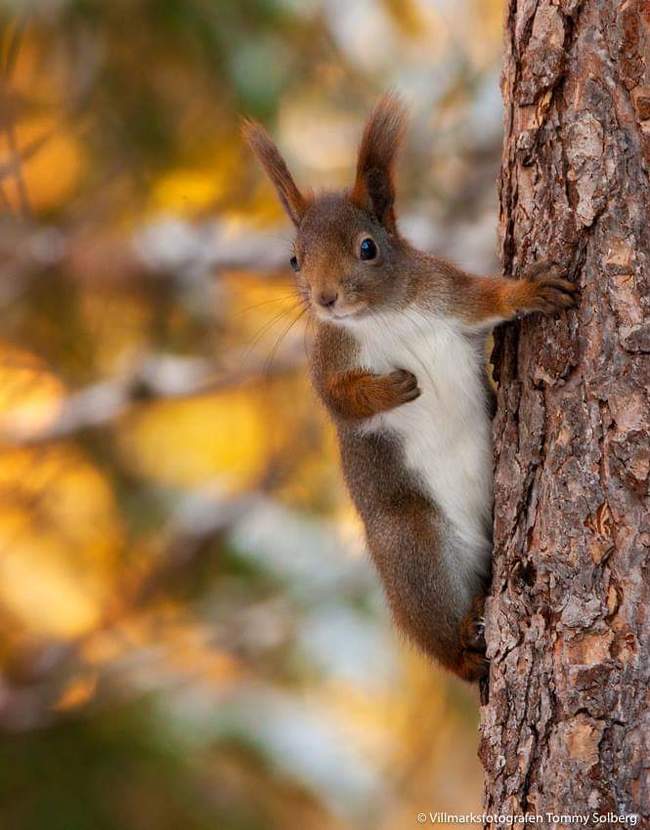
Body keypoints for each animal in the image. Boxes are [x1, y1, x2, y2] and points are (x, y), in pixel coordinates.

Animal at [242, 96, 572, 684]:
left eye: (368, 248)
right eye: (294, 259)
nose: (326, 299)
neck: (381, 316)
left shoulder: (448, 293)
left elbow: (491, 298)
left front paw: (530, 289)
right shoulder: (326, 359)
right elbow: (340, 401)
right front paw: (391, 389)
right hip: (411, 548)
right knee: (438, 634)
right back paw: (463, 644)